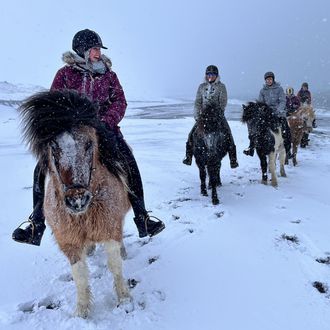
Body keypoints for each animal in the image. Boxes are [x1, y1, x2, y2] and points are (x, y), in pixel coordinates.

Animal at [19, 89, 131, 318]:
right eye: (53, 147)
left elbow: (115, 265)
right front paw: (82, 311)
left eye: (89, 144)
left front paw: (124, 300)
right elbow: (79, 274)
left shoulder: (110, 228)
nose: (77, 200)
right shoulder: (68, 239)